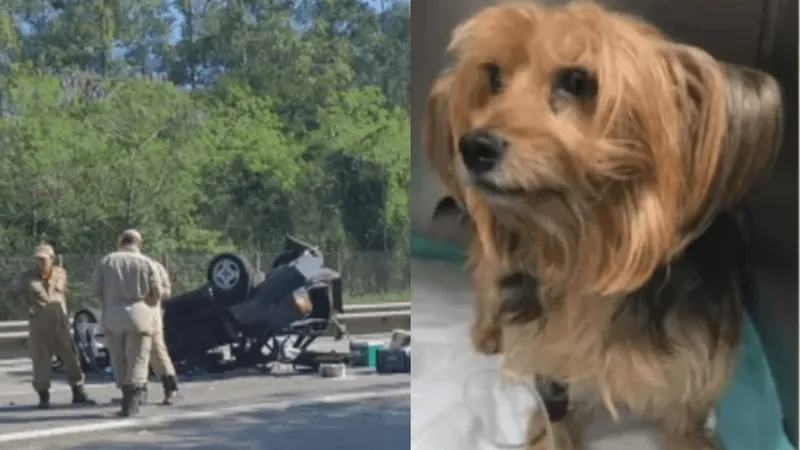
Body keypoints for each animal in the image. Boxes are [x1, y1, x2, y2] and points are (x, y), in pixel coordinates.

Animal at [424, 0, 780, 450]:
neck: (587, 243)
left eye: (578, 81)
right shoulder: (548, 343)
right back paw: (488, 332)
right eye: (493, 77)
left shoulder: (698, 358)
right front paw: (548, 433)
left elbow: (687, 416)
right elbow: (554, 408)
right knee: (489, 276)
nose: (472, 147)